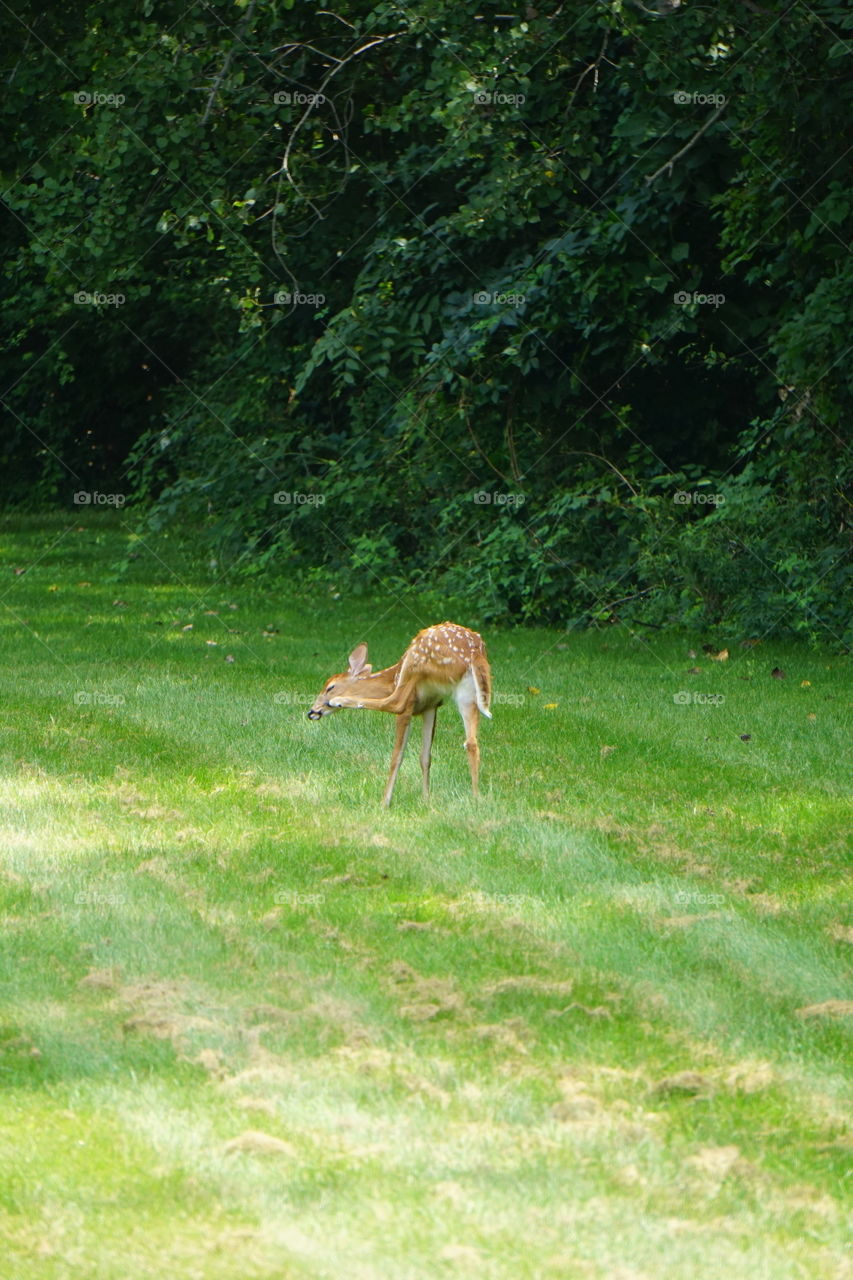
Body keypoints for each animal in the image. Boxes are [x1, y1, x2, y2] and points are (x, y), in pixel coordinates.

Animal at [307, 622, 492, 807]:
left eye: (330, 687)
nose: (312, 711)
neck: (389, 681)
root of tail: (474, 652)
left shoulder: (412, 706)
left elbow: (397, 755)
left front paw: (386, 801)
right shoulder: (431, 706)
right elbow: (425, 757)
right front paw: (426, 799)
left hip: (415, 661)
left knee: (396, 702)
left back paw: (340, 701)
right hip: (468, 694)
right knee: (471, 743)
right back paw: (476, 798)